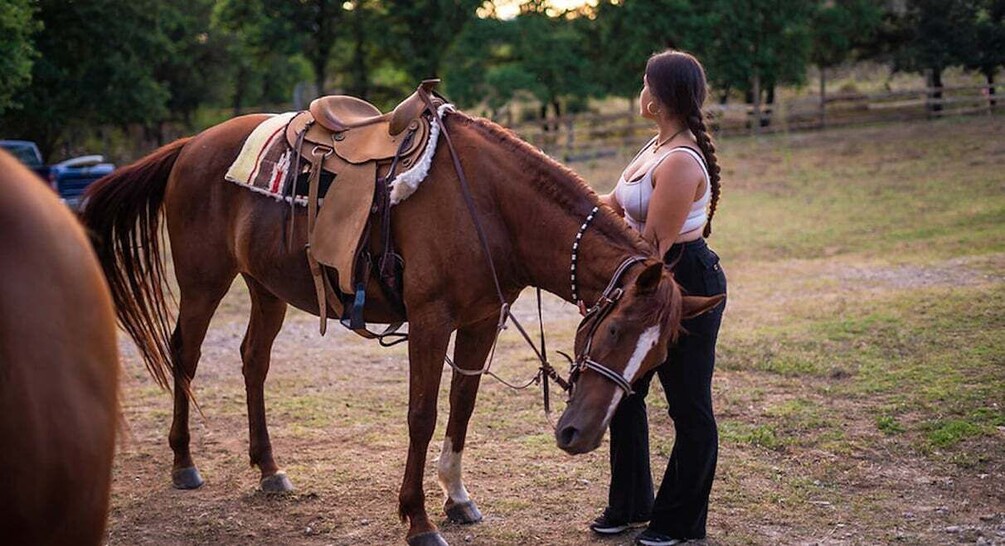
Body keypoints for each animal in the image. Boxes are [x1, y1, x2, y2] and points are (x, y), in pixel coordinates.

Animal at [82, 109, 719, 542]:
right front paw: (418, 518)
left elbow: (462, 405)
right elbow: (423, 414)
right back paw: (183, 463)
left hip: (265, 287)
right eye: (611, 332)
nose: (579, 437)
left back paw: (269, 469)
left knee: (253, 361)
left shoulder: (481, 318)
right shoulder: (432, 320)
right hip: (204, 281)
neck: (489, 204)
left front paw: (457, 499)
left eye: (658, 357)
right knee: (185, 354)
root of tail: (192, 145)